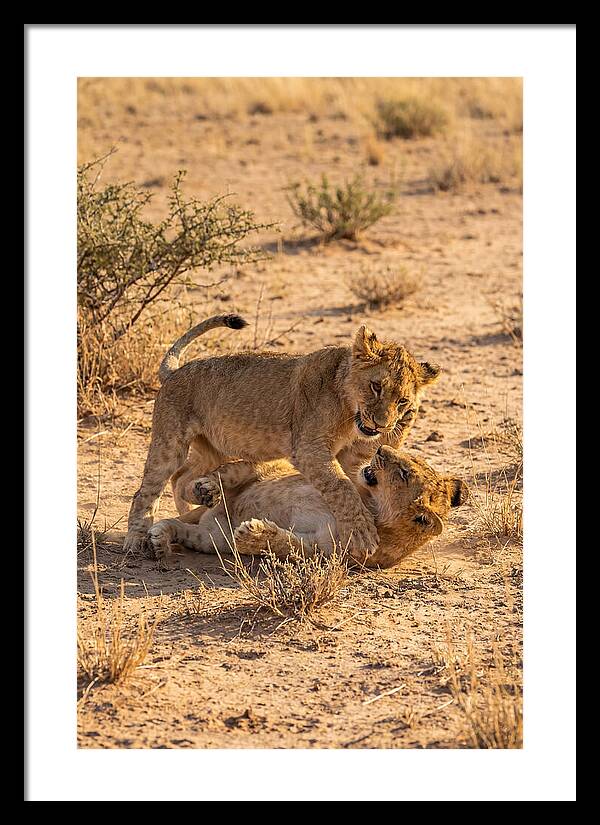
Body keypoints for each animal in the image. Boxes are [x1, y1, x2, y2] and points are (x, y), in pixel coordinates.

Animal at [124, 314, 441, 560]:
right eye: (376, 386)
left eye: (402, 401)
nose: (382, 424)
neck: (349, 410)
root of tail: (175, 372)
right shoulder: (310, 448)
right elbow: (342, 487)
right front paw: (363, 533)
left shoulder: (352, 456)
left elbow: (353, 480)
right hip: (170, 442)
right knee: (147, 490)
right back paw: (137, 540)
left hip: (214, 448)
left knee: (182, 478)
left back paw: (200, 501)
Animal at [147, 446, 469, 569]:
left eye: (403, 473)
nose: (380, 449)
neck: (371, 505)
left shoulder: (322, 551)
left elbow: (286, 544)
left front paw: (253, 534)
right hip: (261, 469)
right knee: (229, 472)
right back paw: (205, 489)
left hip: (213, 538)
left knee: (182, 528)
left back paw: (159, 540)